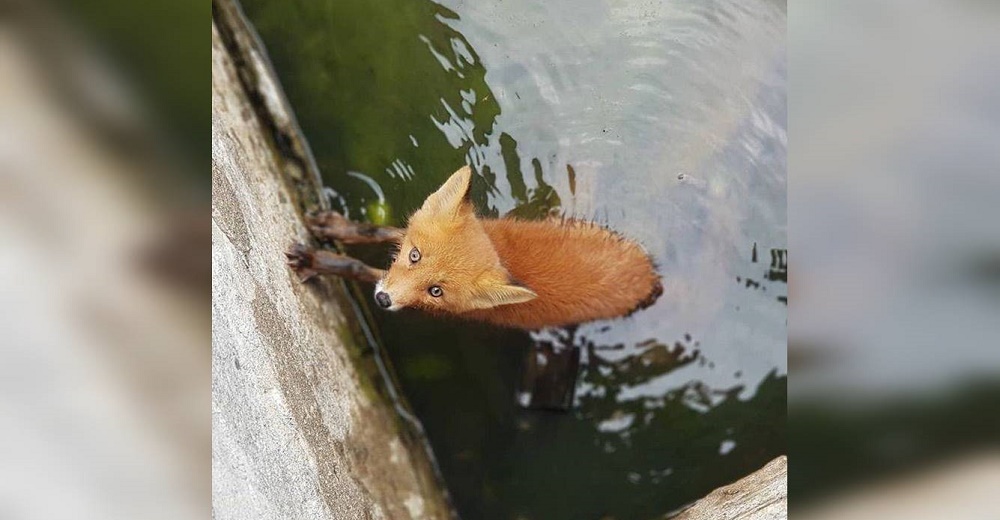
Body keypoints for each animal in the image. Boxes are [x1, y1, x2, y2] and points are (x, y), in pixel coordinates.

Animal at [288, 167, 664, 330]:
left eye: (435, 291)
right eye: (414, 255)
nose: (382, 301)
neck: (501, 250)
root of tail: (652, 275)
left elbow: (359, 269)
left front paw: (317, 261)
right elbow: (380, 231)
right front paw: (335, 226)